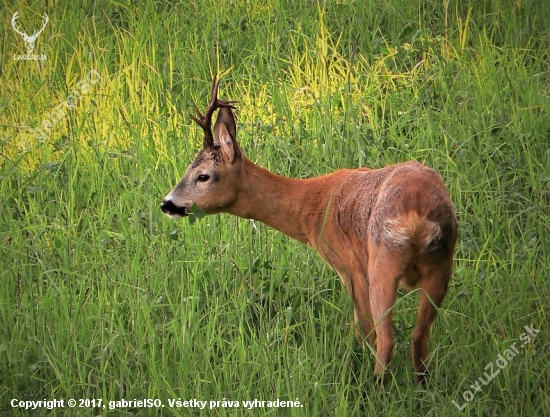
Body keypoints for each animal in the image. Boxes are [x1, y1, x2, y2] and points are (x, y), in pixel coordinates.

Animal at [162, 77, 460, 384]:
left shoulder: (350, 266)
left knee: (387, 339)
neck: (310, 209)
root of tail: (417, 213)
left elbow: (363, 329)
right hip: (442, 262)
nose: (167, 203)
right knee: (419, 336)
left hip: (383, 262)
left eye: (203, 176)